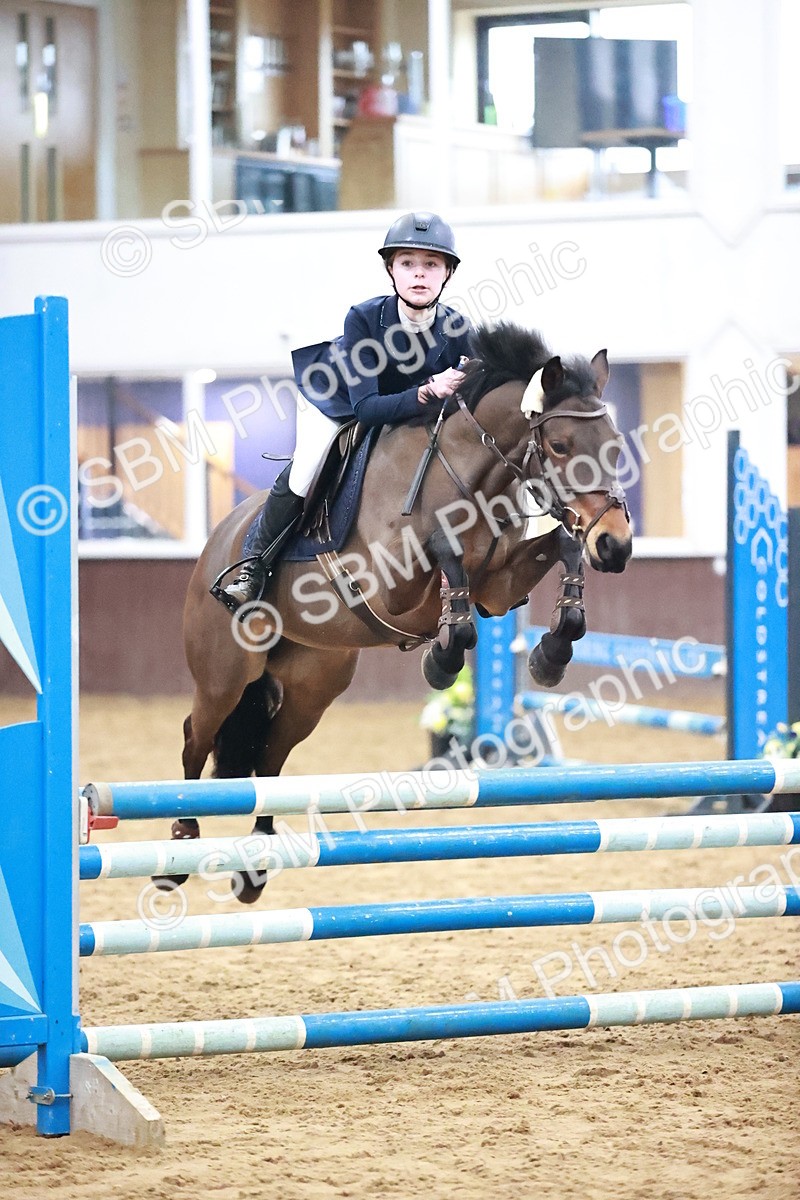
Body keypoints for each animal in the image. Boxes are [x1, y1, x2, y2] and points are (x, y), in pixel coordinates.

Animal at [170, 323, 632, 901]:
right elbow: (444, 551)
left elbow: (562, 548)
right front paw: (442, 660)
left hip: (312, 686)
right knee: (196, 737)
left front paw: (551, 654)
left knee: (271, 757)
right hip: (225, 675)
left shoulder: (498, 589)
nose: (615, 545)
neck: (470, 475)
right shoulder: (390, 584)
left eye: (615, 445)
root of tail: (217, 544)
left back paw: (255, 864)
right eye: (561, 445)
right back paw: (178, 847)